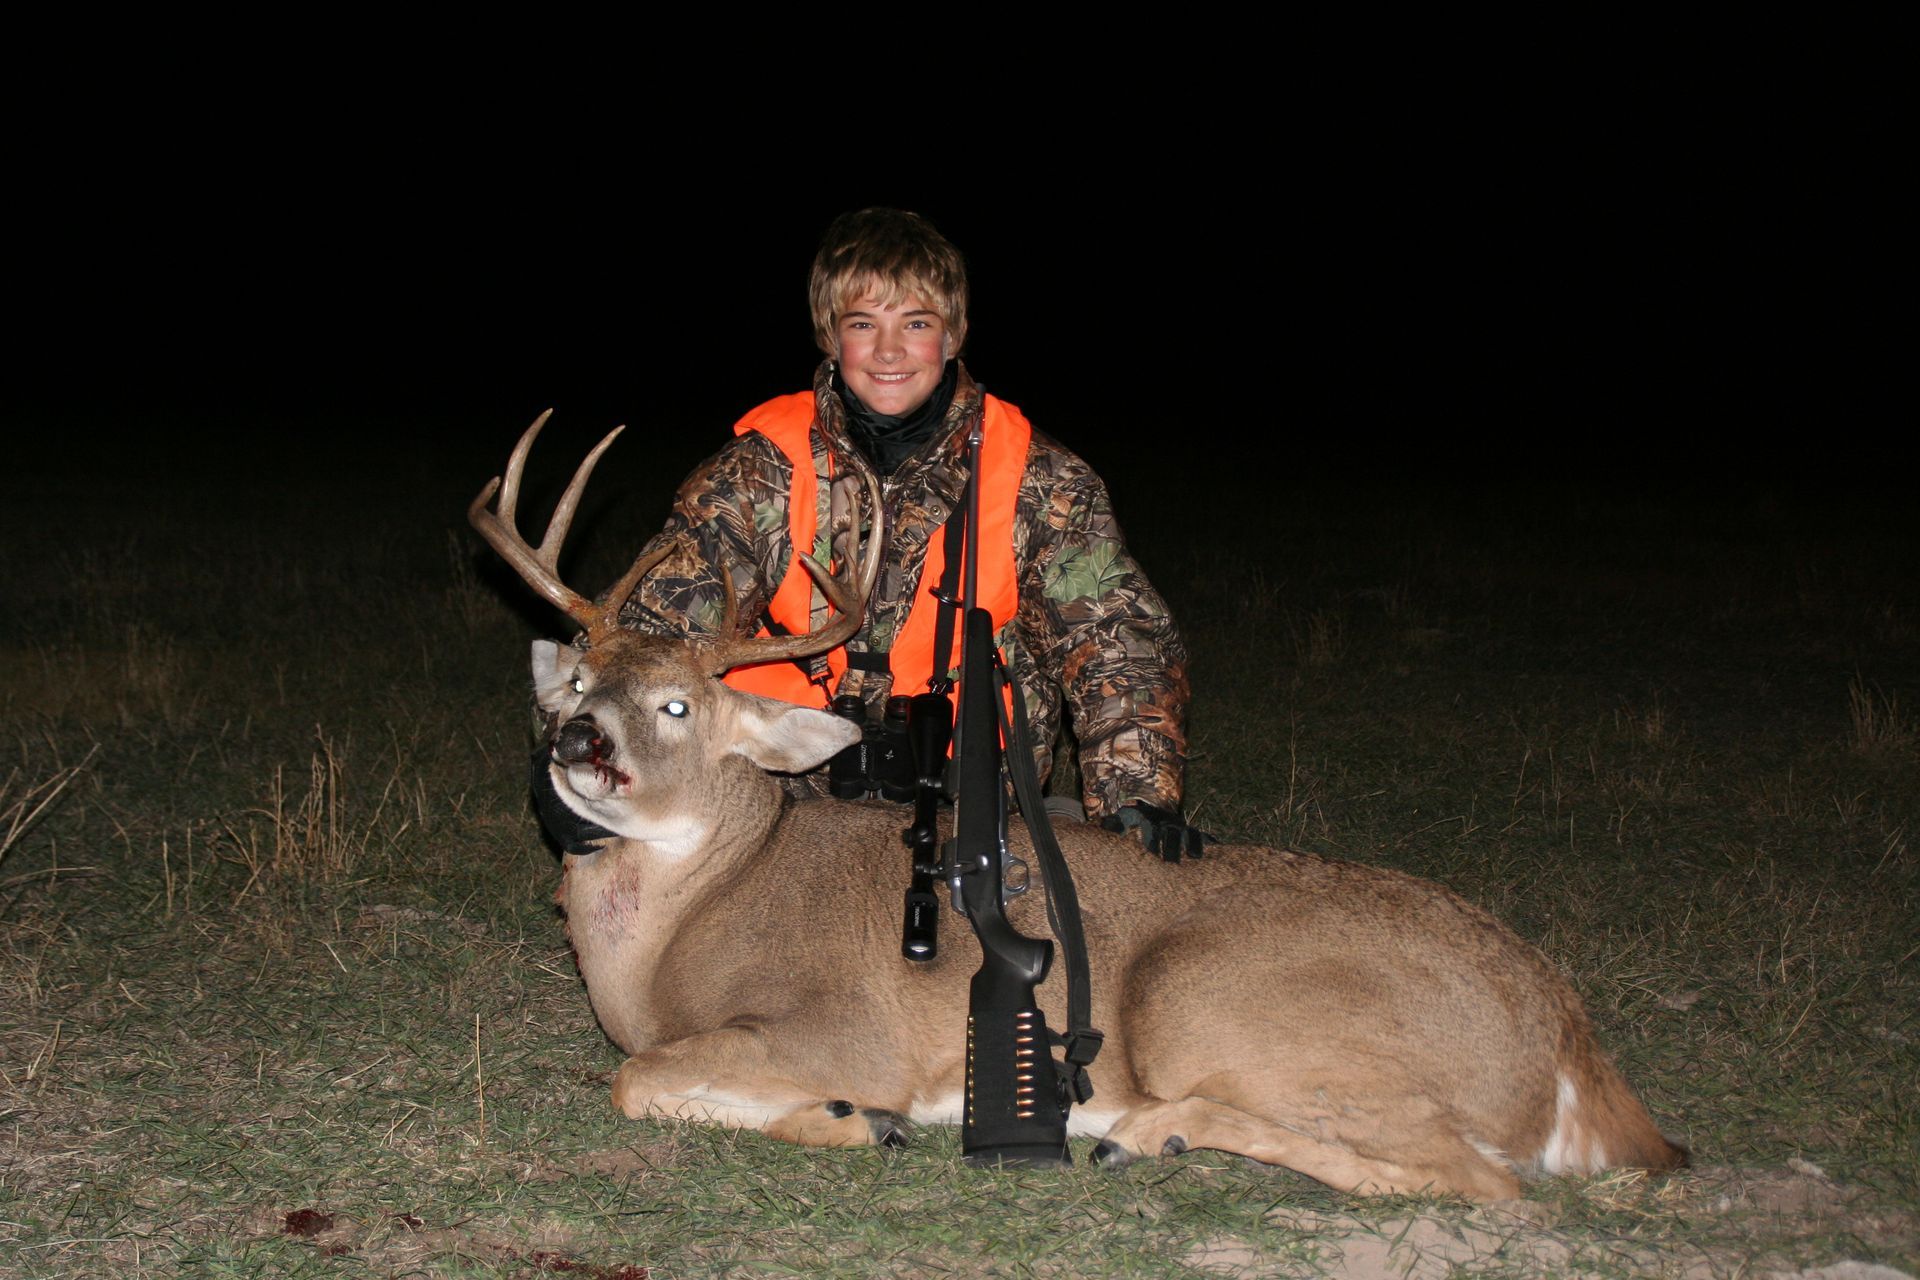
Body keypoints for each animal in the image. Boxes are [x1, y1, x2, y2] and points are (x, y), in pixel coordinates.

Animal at [469, 412, 1687, 1201]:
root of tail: (1572, 1049)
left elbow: (636, 1078)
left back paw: (1146, 1133)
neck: (692, 919)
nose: (580, 744)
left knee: (1476, 1179)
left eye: (678, 703)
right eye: (577, 681)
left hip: (1208, 997)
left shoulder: (836, 1023)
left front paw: (863, 1120)